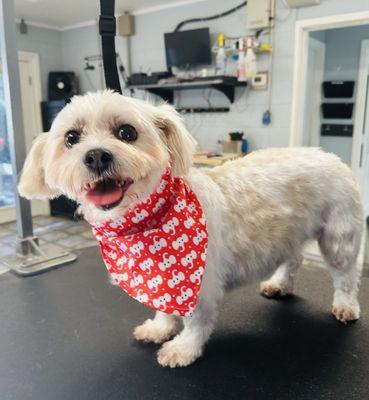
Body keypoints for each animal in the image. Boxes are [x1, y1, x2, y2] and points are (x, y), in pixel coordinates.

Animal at [18, 90, 362, 368]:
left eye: (127, 132)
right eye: (71, 138)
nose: (97, 155)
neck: (147, 223)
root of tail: (328, 155)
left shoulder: (200, 285)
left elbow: (196, 322)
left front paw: (183, 349)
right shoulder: (163, 282)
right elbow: (166, 309)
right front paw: (160, 328)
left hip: (339, 237)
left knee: (346, 275)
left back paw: (345, 305)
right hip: (290, 233)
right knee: (294, 258)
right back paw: (279, 284)